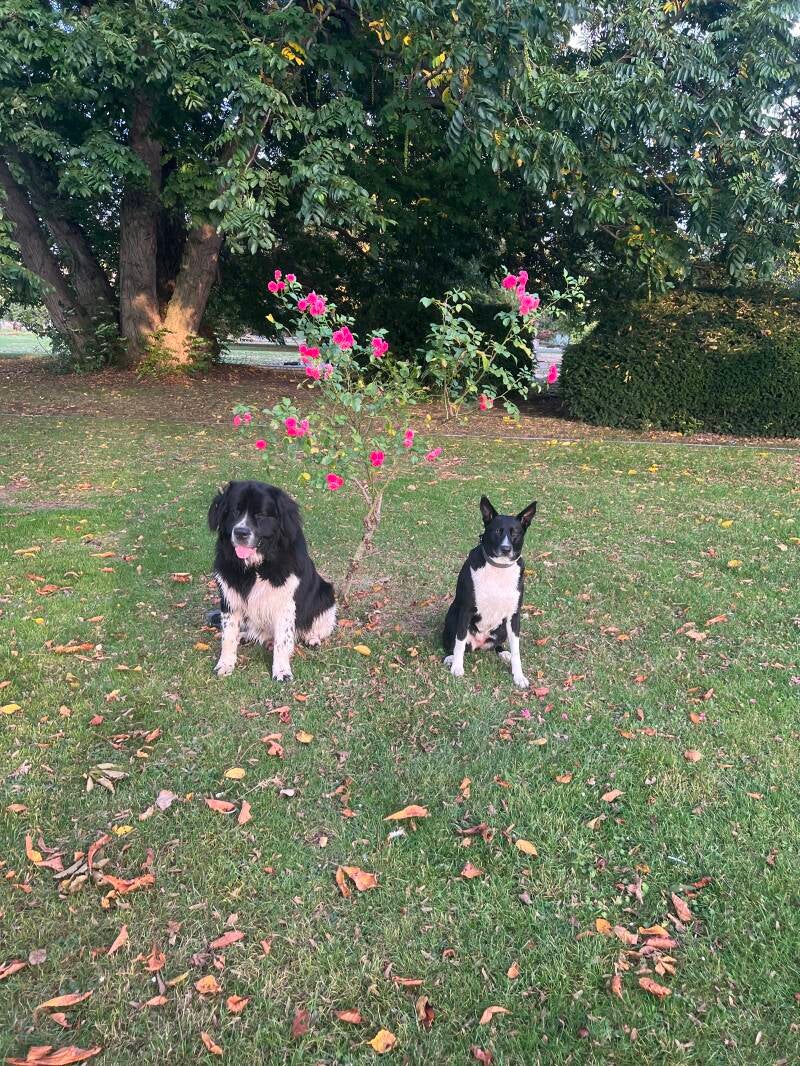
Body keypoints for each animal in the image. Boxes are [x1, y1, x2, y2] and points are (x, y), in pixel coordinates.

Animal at [207, 480, 336, 681]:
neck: (256, 567)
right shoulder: (229, 597)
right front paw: (225, 665)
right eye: (235, 511)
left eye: (260, 515)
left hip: (326, 595)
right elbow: (227, 636)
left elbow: (283, 641)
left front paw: (282, 671)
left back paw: (312, 638)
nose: (241, 532)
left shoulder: (285, 603)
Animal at [442, 495, 537, 689]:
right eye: (497, 531)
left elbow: (516, 650)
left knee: (498, 645)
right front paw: (457, 666)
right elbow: (459, 641)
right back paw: (450, 657)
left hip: (502, 628)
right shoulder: (466, 610)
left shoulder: (514, 616)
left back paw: (502, 652)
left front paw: (519, 676)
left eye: (515, 533)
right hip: (452, 617)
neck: (499, 568)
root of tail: (479, 644)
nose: (506, 549)